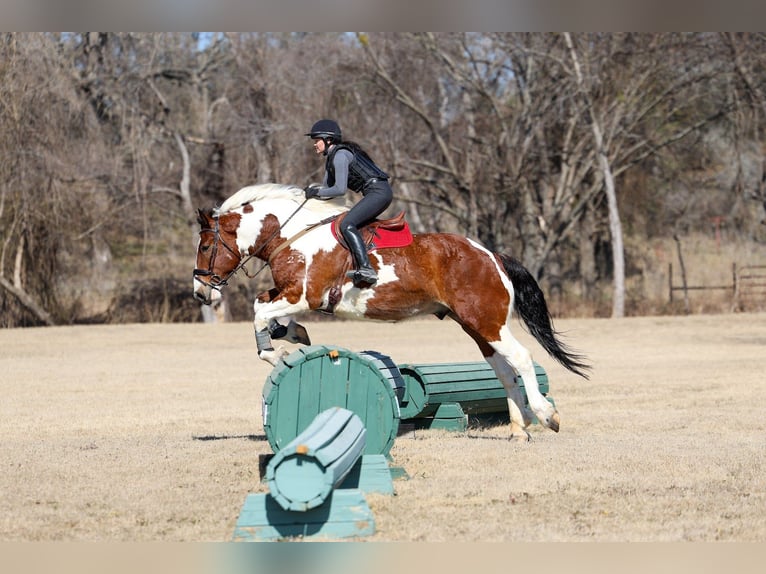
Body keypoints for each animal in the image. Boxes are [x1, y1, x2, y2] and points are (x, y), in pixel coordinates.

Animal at [193, 183, 590, 440]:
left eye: (207, 246)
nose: (200, 292)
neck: (292, 236)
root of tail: (491, 255)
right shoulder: (289, 294)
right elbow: (263, 306)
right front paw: (291, 334)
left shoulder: (304, 296)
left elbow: (261, 313)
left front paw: (276, 353)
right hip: (477, 327)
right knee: (505, 370)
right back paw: (519, 428)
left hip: (486, 321)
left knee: (521, 359)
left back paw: (545, 415)